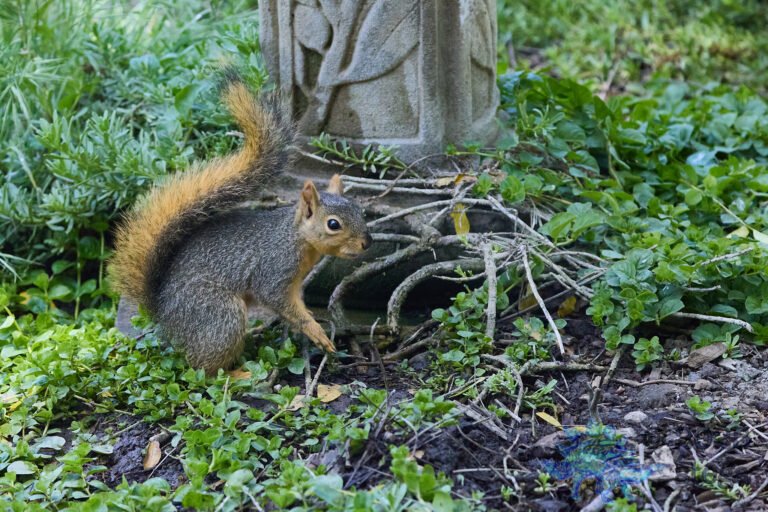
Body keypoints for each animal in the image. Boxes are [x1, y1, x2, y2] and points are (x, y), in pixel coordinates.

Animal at [109, 70, 372, 375]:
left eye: (360, 210)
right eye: (333, 224)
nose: (367, 243)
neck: (294, 238)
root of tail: (164, 317)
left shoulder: (294, 283)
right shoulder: (273, 270)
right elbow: (278, 301)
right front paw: (314, 331)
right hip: (220, 315)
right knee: (201, 370)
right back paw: (239, 373)